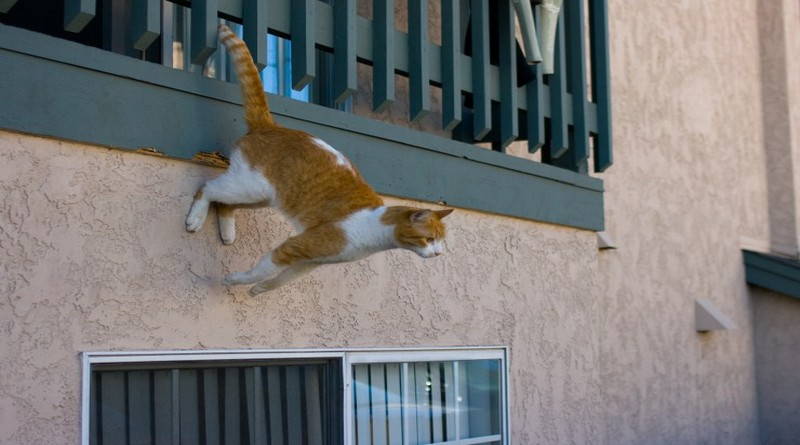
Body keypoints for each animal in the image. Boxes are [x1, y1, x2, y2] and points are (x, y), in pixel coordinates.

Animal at [185, 24, 453, 296]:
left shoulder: (310, 261)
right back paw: (195, 220)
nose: (439, 254)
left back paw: (227, 233)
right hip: (250, 187)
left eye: (441, 241)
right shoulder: (297, 245)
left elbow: (280, 279)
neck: (374, 227)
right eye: (429, 239)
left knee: (224, 202)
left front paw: (258, 290)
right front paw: (236, 281)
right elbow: (264, 268)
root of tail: (270, 126)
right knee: (207, 188)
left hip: (262, 197)